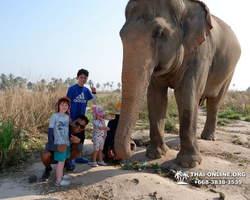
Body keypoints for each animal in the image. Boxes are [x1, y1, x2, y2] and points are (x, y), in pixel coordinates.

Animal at [114, 0, 241, 167]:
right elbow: (156, 98)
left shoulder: (200, 53)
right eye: (121, 35)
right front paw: (155, 154)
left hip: (229, 72)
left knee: (215, 102)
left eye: (158, 33)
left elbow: (186, 94)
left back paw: (208, 137)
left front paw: (189, 164)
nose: (132, 144)